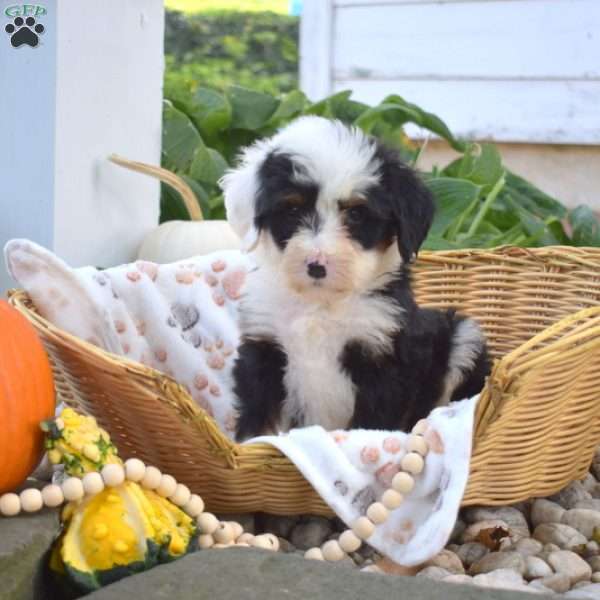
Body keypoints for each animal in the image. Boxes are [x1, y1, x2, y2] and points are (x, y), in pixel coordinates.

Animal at [218, 116, 490, 440]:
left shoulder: (381, 356)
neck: (320, 303)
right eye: (293, 208)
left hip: (462, 336)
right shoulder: (264, 347)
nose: (317, 266)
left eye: (357, 214)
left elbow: (368, 425)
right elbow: (258, 420)